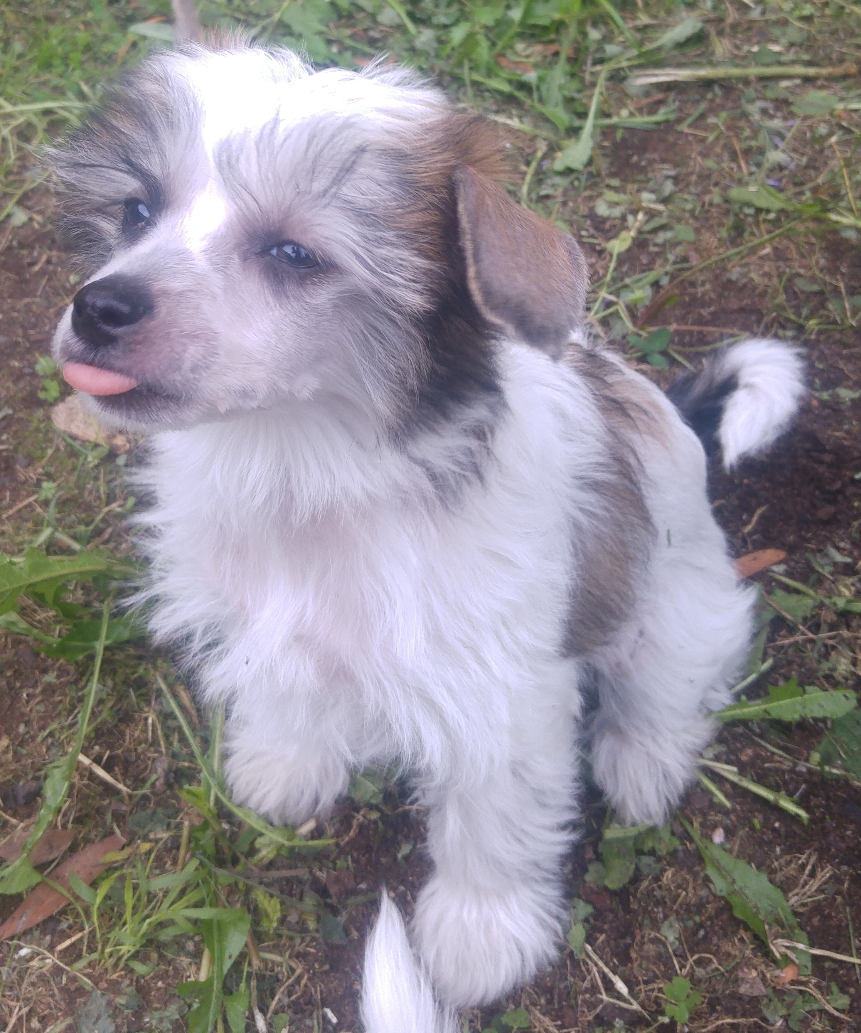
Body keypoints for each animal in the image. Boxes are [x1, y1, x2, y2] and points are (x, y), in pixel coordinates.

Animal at [49, 39, 804, 1033]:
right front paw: (286, 759)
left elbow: (493, 816)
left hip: (674, 604)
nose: (100, 305)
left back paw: (643, 755)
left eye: (293, 253)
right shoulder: (270, 621)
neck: (309, 465)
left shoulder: (500, 692)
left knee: (672, 679)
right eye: (136, 211)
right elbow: (287, 688)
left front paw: (482, 932)